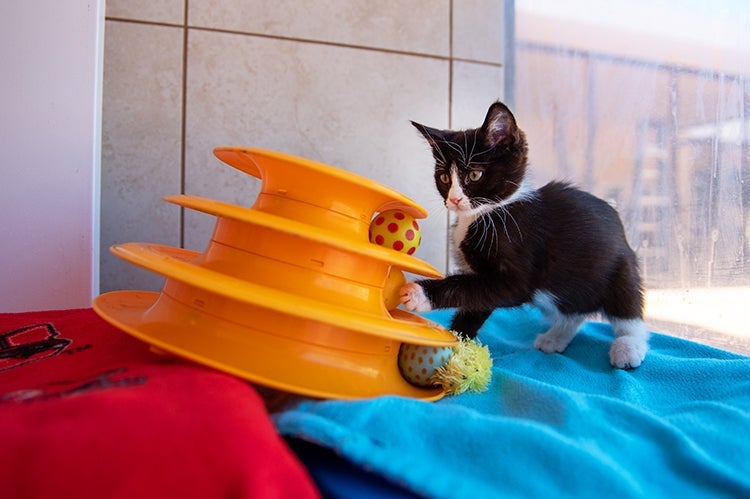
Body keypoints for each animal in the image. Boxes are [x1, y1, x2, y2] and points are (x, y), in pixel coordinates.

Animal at [400, 101, 652, 370]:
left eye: (475, 174)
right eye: (445, 177)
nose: (454, 199)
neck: (489, 213)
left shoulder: (517, 274)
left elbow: (467, 287)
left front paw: (418, 293)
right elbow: (476, 301)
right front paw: (456, 347)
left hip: (620, 268)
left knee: (628, 310)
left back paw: (628, 347)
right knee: (576, 310)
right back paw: (556, 336)